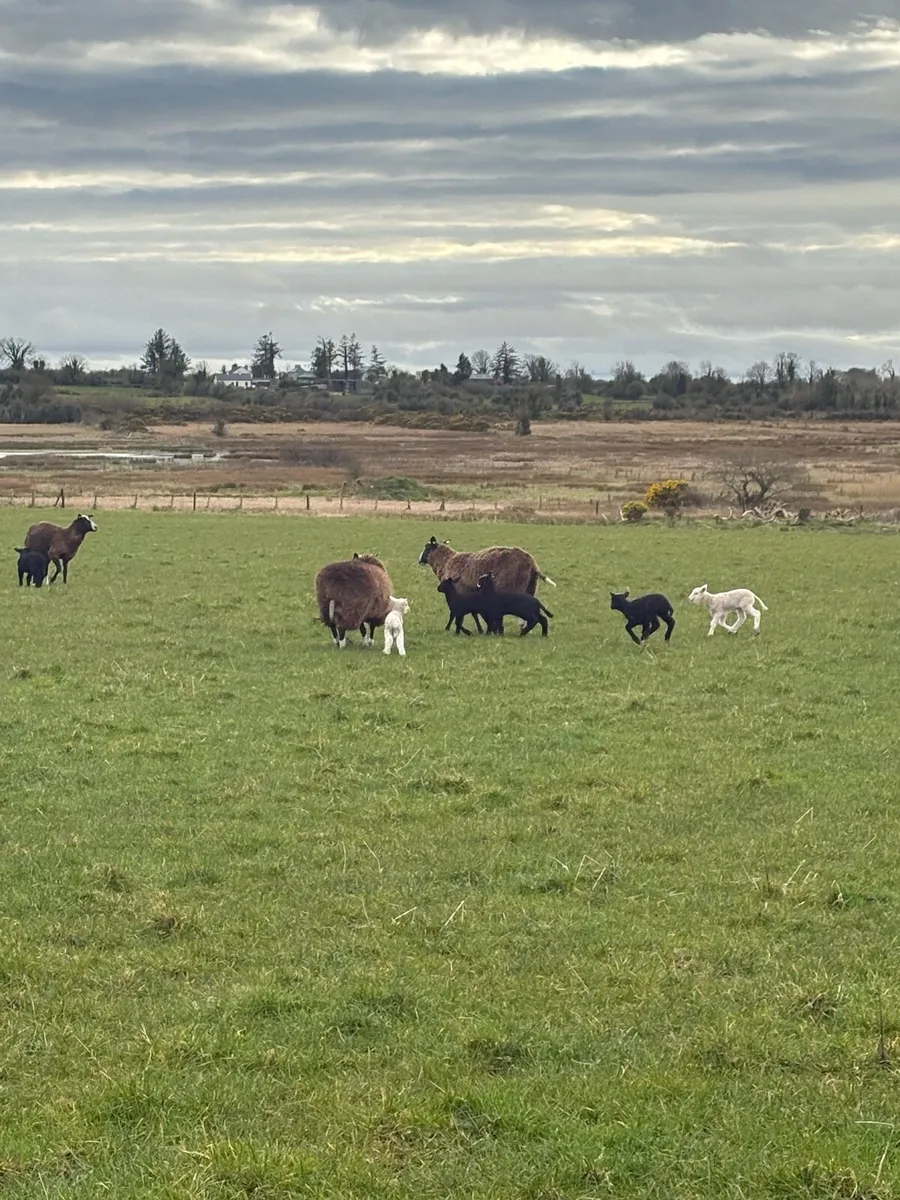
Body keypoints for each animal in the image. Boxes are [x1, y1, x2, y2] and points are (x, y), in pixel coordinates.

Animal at [418, 535, 555, 596]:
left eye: (427, 547)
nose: (419, 561)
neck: (447, 561)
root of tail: (532, 563)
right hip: (530, 587)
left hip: (512, 587)